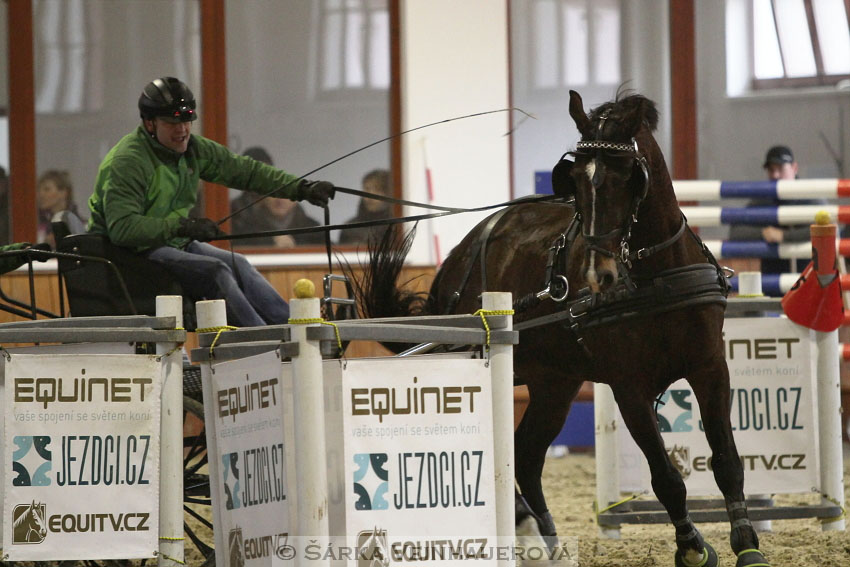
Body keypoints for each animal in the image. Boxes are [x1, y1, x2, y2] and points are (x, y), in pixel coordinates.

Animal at [348, 90, 764, 567]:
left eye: (629, 177)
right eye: (577, 181)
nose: (600, 275)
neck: (655, 274)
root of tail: (458, 260)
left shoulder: (710, 367)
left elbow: (727, 462)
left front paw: (747, 544)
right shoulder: (629, 387)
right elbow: (666, 478)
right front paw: (693, 547)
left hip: (555, 383)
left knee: (527, 455)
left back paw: (545, 540)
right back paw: (526, 527)